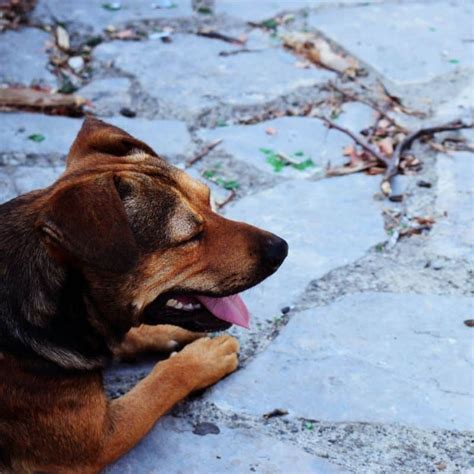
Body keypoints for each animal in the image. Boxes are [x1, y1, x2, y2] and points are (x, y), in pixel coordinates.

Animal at [0, 117, 288, 470]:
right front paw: (203, 358)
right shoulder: (97, 443)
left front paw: (171, 335)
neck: (64, 304)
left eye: (208, 200)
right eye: (190, 237)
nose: (282, 249)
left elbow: (130, 335)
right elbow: (161, 381)